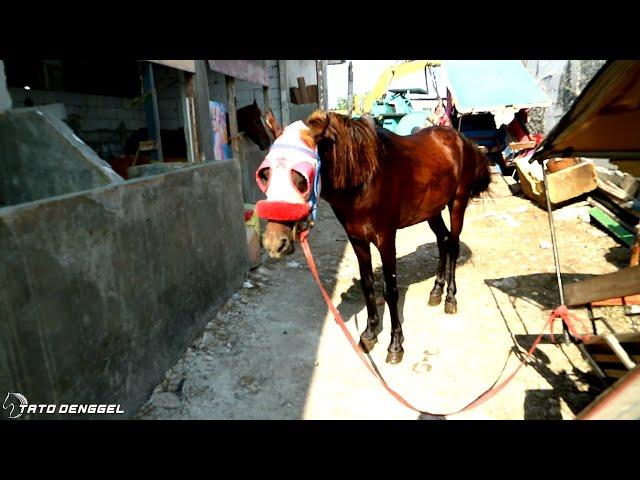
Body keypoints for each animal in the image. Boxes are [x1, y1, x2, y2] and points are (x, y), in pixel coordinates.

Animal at [258, 109, 492, 364]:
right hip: (432, 211)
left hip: (457, 203)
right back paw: (436, 292)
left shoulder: (386, 239)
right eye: (265, 174)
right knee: (443, 241)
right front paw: (369, 334)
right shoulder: (357, 240)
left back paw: (450, 298)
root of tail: (463, 140)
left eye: (301, 176)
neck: (365, 179)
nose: (274, 243)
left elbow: (391, 291)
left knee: (454, 245)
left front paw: (395, 345)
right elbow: (368, 285)